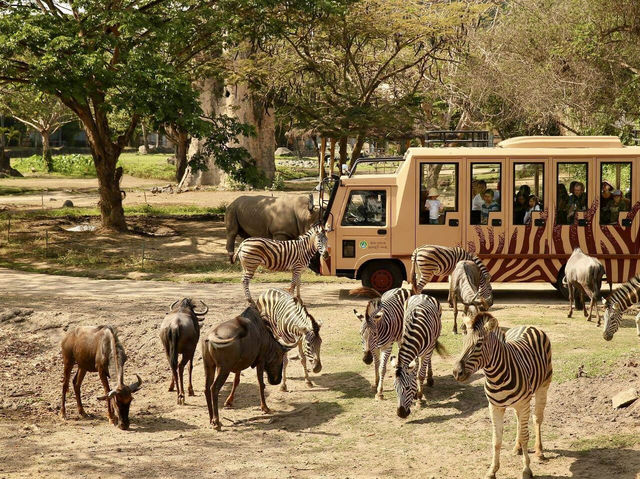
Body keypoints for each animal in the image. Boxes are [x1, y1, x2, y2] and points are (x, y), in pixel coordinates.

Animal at [392, 290, 442, 418]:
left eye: (407, 388)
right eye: (395, 388)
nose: (401, 414)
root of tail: (422, 294)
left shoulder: (428, 350)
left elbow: (420, 375)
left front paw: (419, 399)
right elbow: (414, 372)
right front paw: (416, 394)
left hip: (433, 342)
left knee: (428, 362)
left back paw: (430, 379)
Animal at [452, 314, 552, 479]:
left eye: (478, 344)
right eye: (463, 342)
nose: (456, 373)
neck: (496, 377)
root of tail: (528, 325)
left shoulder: (523, 403)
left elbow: (525, 436)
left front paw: (526, 470)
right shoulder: (494, 407)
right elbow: (496, 440)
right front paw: (492, 470)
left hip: (543, 386)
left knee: (537, 419)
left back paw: (539, 451)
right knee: (519, 421)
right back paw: (517, 447)